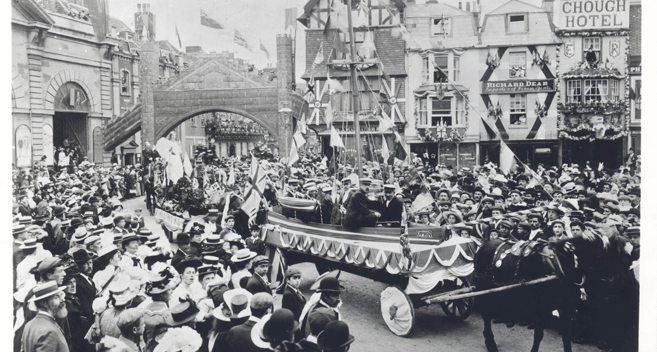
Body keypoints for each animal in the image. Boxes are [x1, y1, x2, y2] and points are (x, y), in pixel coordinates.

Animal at [474, 228, 640, 352]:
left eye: (629, 257)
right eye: (614, 255)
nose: (632, 284)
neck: (563, 265)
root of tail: (484, 245)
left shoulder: (566, 306)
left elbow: (566, 336)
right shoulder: (540, 305)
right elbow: (539, 335)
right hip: (483, 287)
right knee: (486, 312)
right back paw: (490, 341)